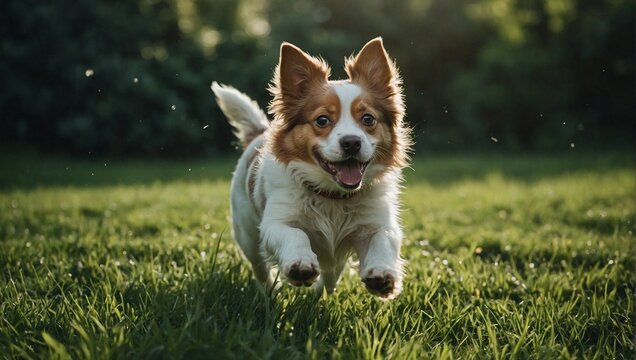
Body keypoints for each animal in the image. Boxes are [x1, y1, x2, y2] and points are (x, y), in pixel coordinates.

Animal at [212, 38, 412, 300]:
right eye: (322, 120)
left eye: (368, 119)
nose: (351, 142)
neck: (333, 196)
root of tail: (259, 132)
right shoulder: (276, 222)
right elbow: (295, 234)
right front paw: (300, 265)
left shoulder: (376, 223)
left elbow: (384, 239)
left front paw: (382, 273)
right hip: (246, 233)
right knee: (260, 266)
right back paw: (270, 294)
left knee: (332, 273)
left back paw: (319, 294)